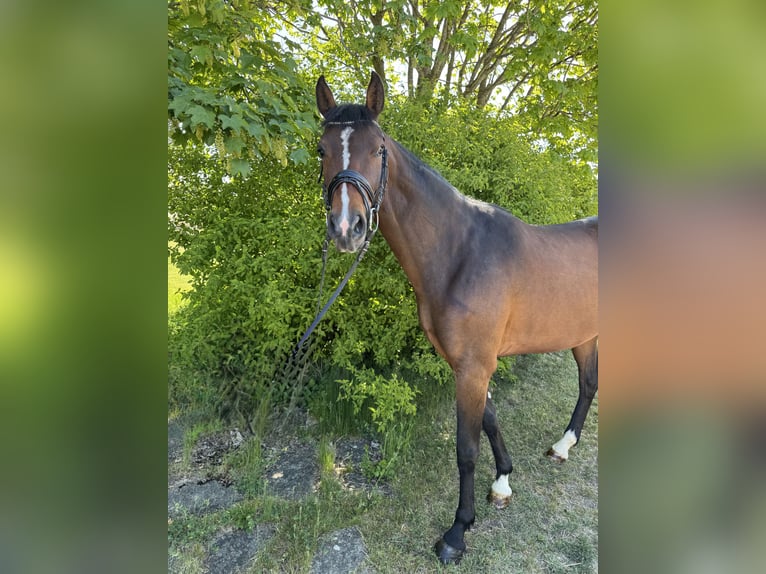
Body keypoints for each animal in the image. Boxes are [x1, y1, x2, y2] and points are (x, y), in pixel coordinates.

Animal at [315, 71, 598, 565]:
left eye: (378, 149)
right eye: (322, 150)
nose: (346, 228)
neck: (459, 254)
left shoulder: (473, 367)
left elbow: (466, 448)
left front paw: (457, 533)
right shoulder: (467, 364)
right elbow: (490, 421)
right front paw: (502, 483)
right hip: (585, 334)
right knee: (588, 385)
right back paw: (564, 446)